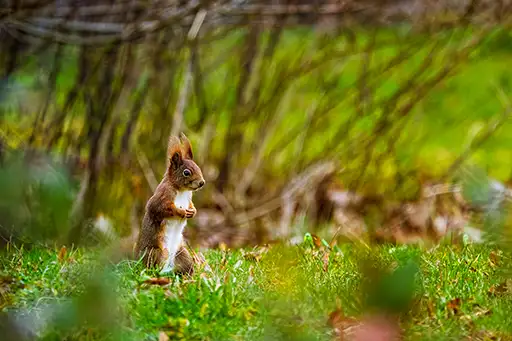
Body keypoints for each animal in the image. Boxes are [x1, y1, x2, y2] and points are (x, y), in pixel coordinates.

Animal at [135, 131, 205, 274]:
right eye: (186, 172)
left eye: (198, 167)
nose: (202, 182)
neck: (182, 190)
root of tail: (169, 268)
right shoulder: (162, 196)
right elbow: (158, 208)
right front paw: (181, 211)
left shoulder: (189, 197)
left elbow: (191, 205)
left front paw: (193, 211)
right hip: (156, 252)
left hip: (182, 253)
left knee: (185, 267)